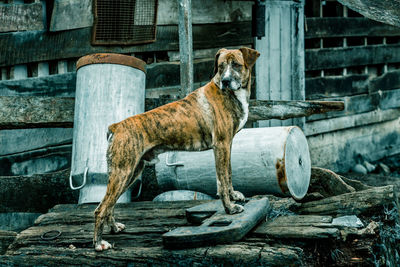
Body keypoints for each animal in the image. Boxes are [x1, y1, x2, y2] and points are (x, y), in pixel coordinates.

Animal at [93, 47, 260, 251]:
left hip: (130, 172)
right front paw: (230, 208)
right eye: (221, 67)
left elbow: (228, 174)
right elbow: (221, 181)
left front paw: (234, 196)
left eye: (236, 64)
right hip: (122, 172)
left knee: (108, 205)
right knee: (100, 208)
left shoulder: (228, 145)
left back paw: (114, 227)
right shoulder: (221, 144)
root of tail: (117, 126)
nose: (226, 81)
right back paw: (99, 243)